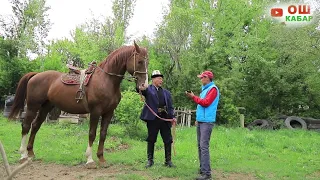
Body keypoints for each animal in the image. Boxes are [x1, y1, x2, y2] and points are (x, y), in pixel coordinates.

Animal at [8, 41, 149, 167]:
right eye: (139, 61)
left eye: (147, 62)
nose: (144, 86)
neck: (106, 80)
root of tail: (35, 75)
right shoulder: (95, 112)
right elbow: (92, 134)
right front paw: (90, 160)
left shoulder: (109, 113)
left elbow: (103, 134)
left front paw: (101, 158)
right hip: (33, 107)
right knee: (26, 126)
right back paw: (23, 155)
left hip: (45, 107)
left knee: (35, 126)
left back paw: (31, 153)